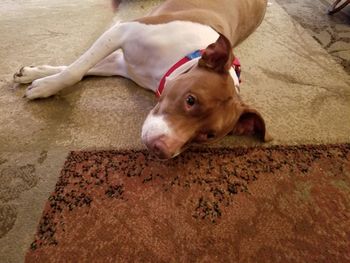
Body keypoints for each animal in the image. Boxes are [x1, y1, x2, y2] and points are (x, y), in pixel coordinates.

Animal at [13, 0, 270, 160]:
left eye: (209, 136)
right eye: (190, 100)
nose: (161, 150)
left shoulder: (121, 64)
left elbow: (81, 68)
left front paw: (39, 78)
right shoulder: (121, 32)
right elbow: (75, 70)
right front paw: (43, 82)